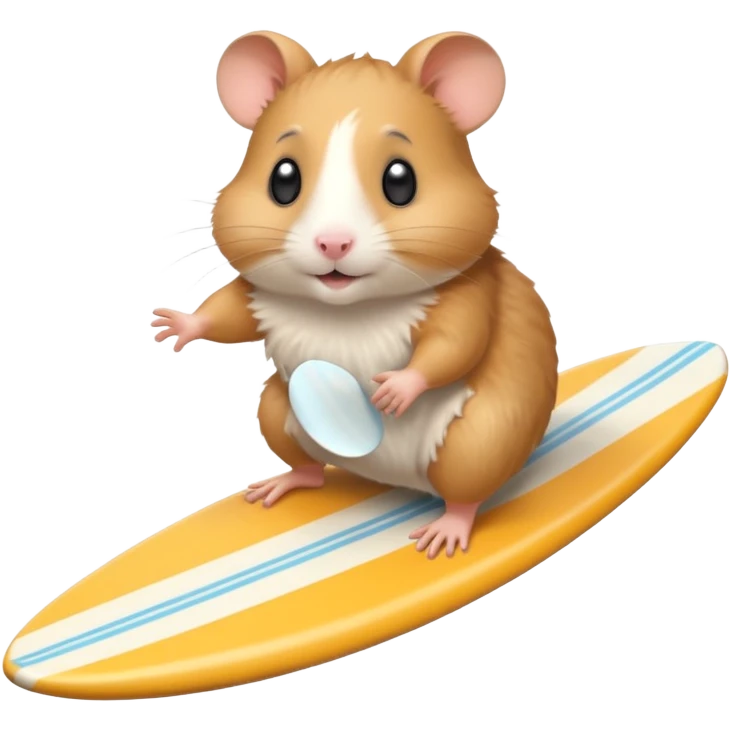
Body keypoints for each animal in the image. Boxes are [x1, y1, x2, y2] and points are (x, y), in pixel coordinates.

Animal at [152, 30, 559, 559]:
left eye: (401, 180)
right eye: (283, 179)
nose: (333, 243)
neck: (348, 308)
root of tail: (391, 481)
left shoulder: (465, 294)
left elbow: (456, 343)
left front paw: (395, 390)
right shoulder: (259, 294)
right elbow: (227, 314)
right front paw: (176, 325)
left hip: (477, 440)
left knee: (466, 494)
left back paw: (446, 532)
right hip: (278, 412)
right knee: (309, 467)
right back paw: (284, 485)